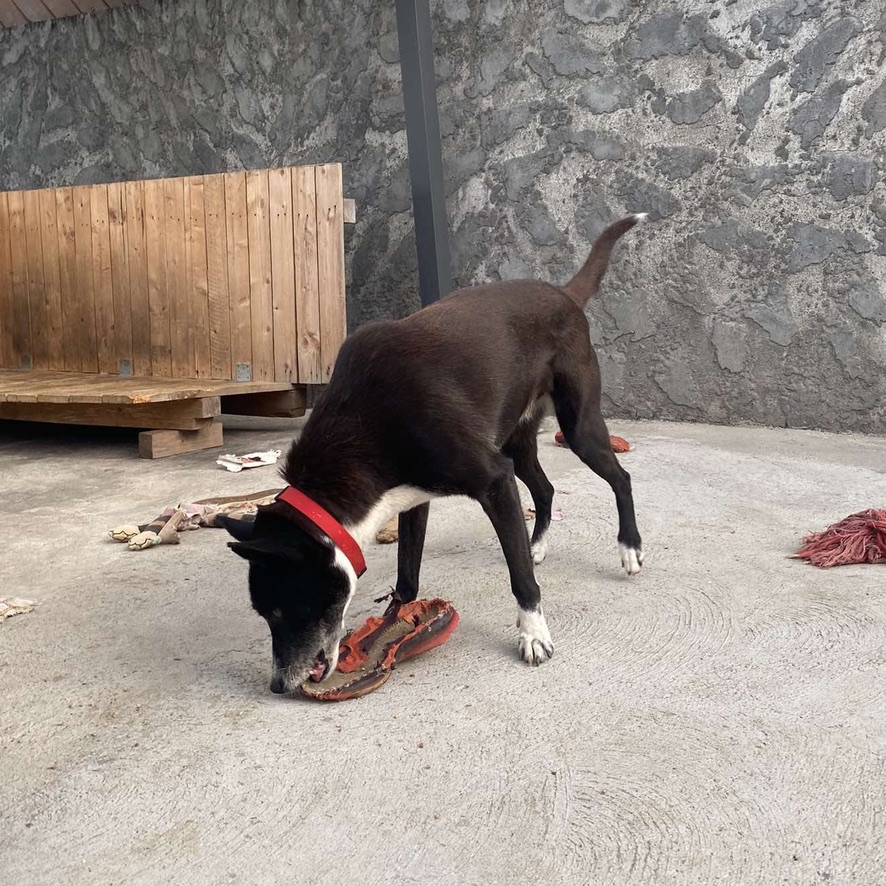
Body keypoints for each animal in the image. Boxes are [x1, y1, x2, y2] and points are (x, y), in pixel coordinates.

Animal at [225, 215, 644, 692]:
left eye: (280, 610)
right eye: (264, 614)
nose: (278, 685)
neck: (366, 419)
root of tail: (564, 294)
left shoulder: (494, 480)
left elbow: (520, 578)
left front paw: (533, 633)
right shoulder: (413, 497)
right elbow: (407, 579)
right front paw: (389, 628)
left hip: (578, 428)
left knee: (620, 478)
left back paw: (629, 548)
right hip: (516, 443)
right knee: (545, 488)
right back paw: (537, 544)